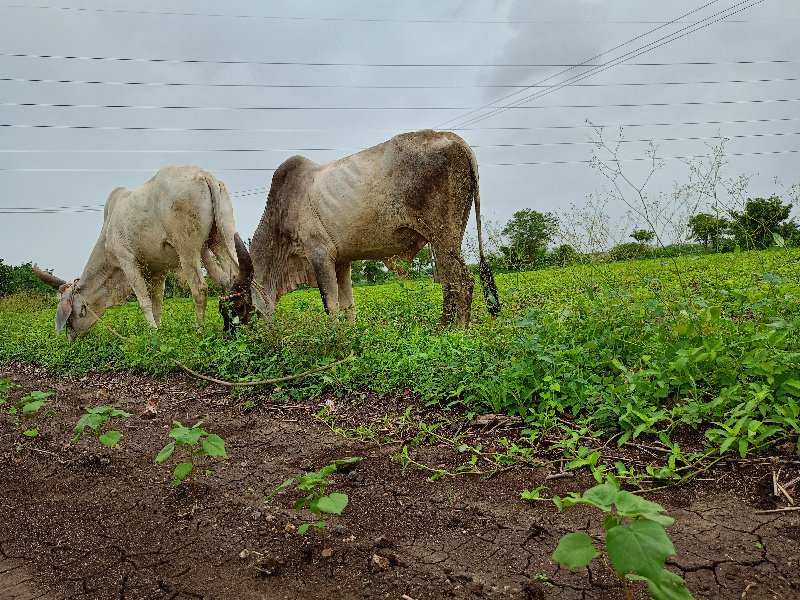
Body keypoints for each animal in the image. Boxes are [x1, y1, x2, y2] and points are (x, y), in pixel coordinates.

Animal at [33, 166, 253, 340]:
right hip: (221, 236)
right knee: (234, 276)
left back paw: (199, 331)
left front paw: (152, 333)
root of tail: (205, 175)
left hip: (187, 247)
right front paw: (159, 328)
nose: (70, 338)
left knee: (200, 288)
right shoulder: (159, 270)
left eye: (70, 317)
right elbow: (157, 303)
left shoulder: (126, 260)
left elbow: (144, 301)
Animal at [248, 129, 500, 326]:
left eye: (244, 308)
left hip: (441, 234)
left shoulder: (319, 255)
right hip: (450, 234)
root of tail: (456, 140)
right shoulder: (341, 262)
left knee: (461, 280)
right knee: (449, 282)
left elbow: (331, 306)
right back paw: (445, 328)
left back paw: (456, 331)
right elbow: (348, 305)